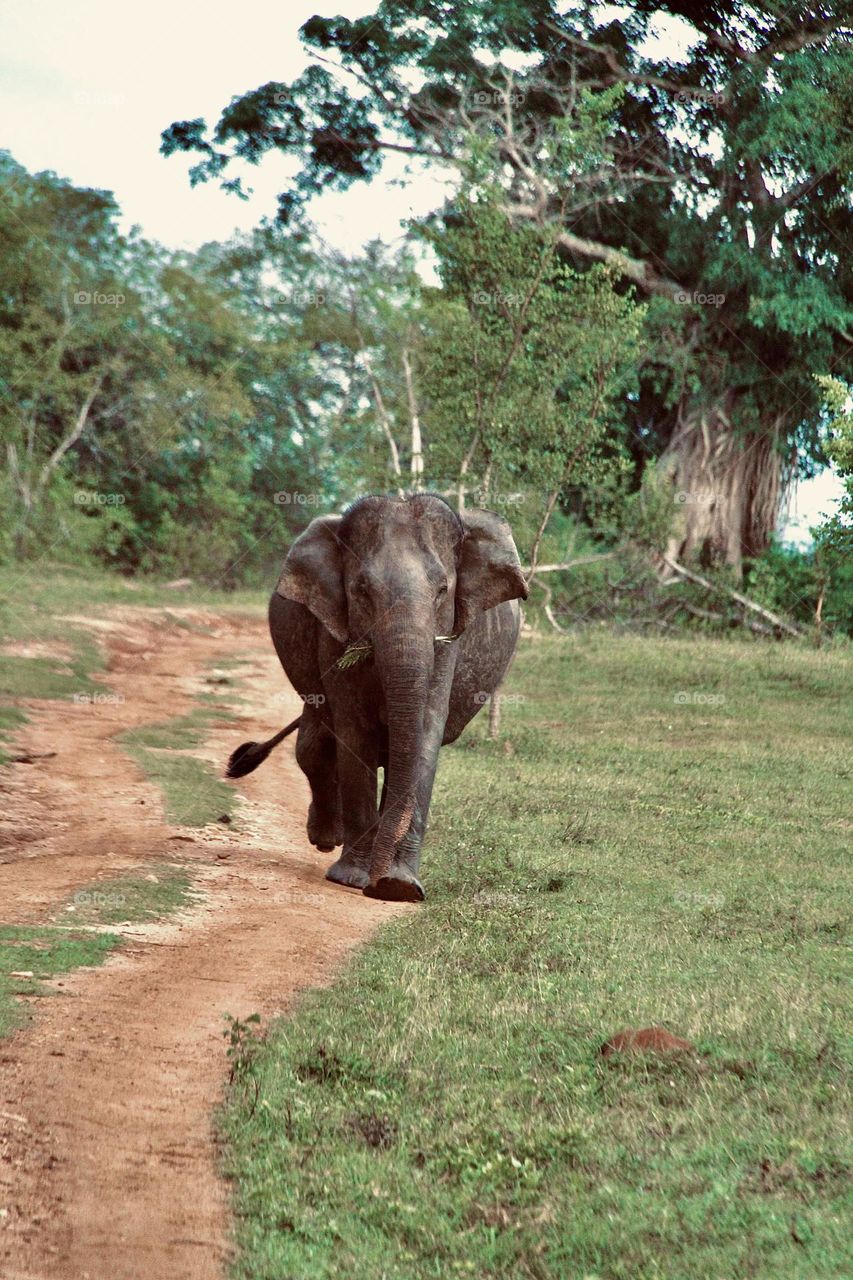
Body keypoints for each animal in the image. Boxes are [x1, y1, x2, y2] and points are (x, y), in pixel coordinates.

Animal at [227, 493, 528, 902]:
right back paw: (328, 839)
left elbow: (425, 734)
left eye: (442, 592)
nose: (380, 885)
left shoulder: (449, 640)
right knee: (314, 744)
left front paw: (400, 885)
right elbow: (353, 733)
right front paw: (354, 879)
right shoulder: (333, 633)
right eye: (361, 591)